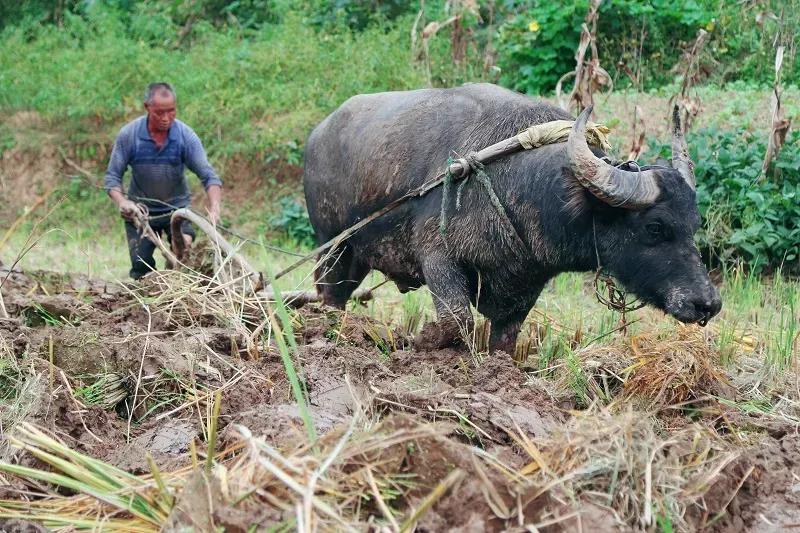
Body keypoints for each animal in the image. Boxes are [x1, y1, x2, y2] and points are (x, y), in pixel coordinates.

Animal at [304, 83, 720, 354]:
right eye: (655, 227)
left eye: (694, 225)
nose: (707, 304)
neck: (520, 184)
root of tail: (318, 134)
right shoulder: (437, 258)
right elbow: (457, 320)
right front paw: (418, 341)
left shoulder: (525, 288)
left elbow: (504, 339)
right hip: (332, 245)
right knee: (329, 293)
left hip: (357, 255)